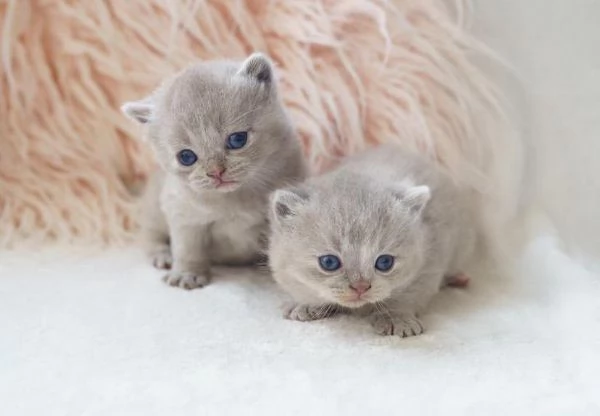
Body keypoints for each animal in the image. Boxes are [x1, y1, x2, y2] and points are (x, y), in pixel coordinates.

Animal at [123, 52, 308, 290]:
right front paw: (187, 274)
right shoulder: (183, 214)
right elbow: (187, 248)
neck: (236, 199)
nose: (216, 172)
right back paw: (162, 255)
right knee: (149, 235)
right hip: (154, 208)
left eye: (237, 139)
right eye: (186, 157)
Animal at [270, 145, 476, 336]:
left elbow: (408, 294)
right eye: (329, 262)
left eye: (385, 262)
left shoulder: (430, 261)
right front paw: (305, 303)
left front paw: (396, 317)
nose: (360, 287)